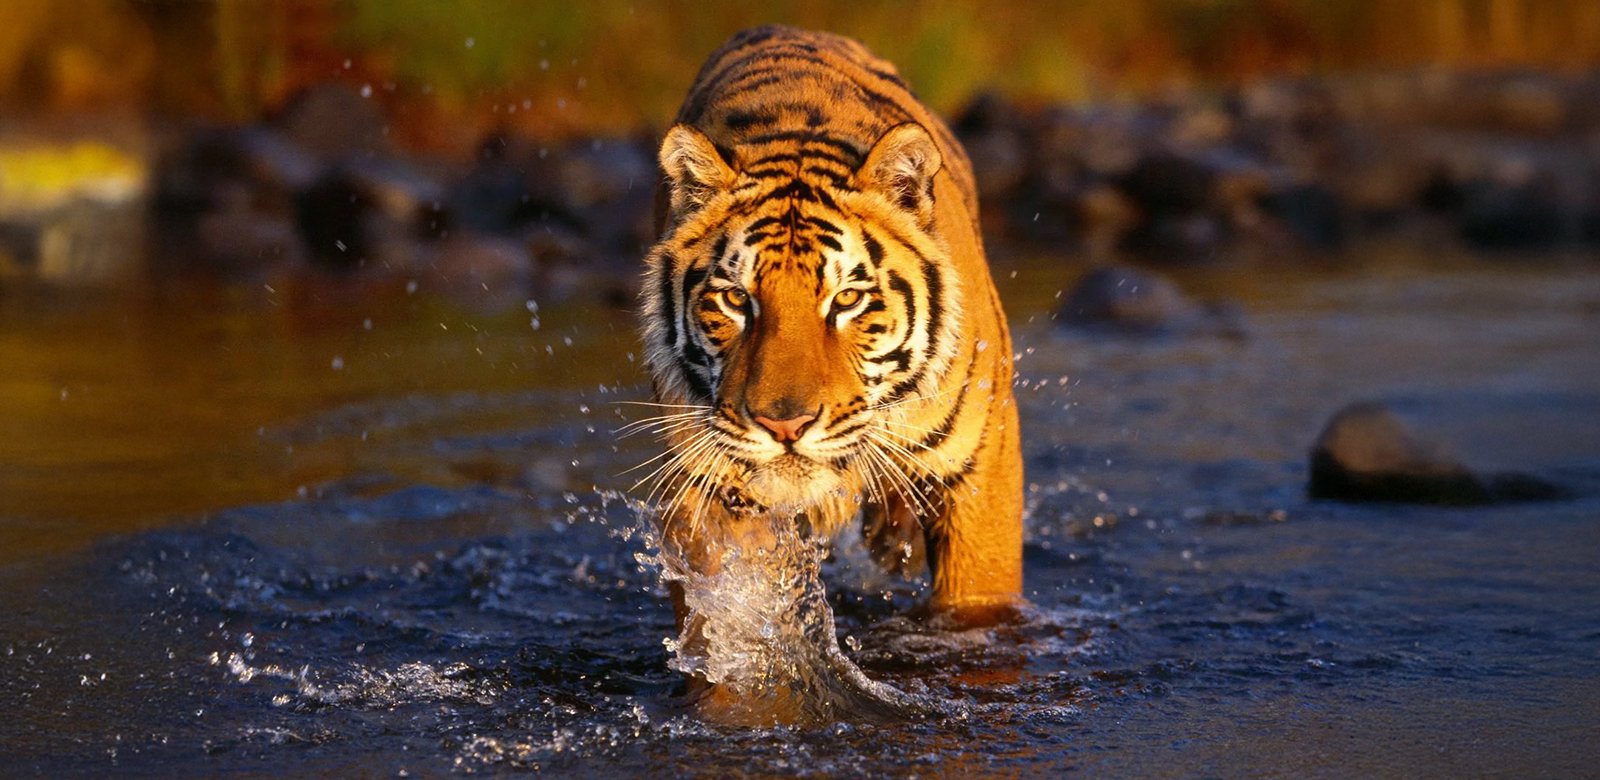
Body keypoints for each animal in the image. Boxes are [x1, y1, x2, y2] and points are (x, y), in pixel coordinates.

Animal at [637, 25, 1023, 640]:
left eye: (846, 300)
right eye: (736, 299)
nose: (784, 426)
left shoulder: (981, 467)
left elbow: (977, 601)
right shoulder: (706, 488)